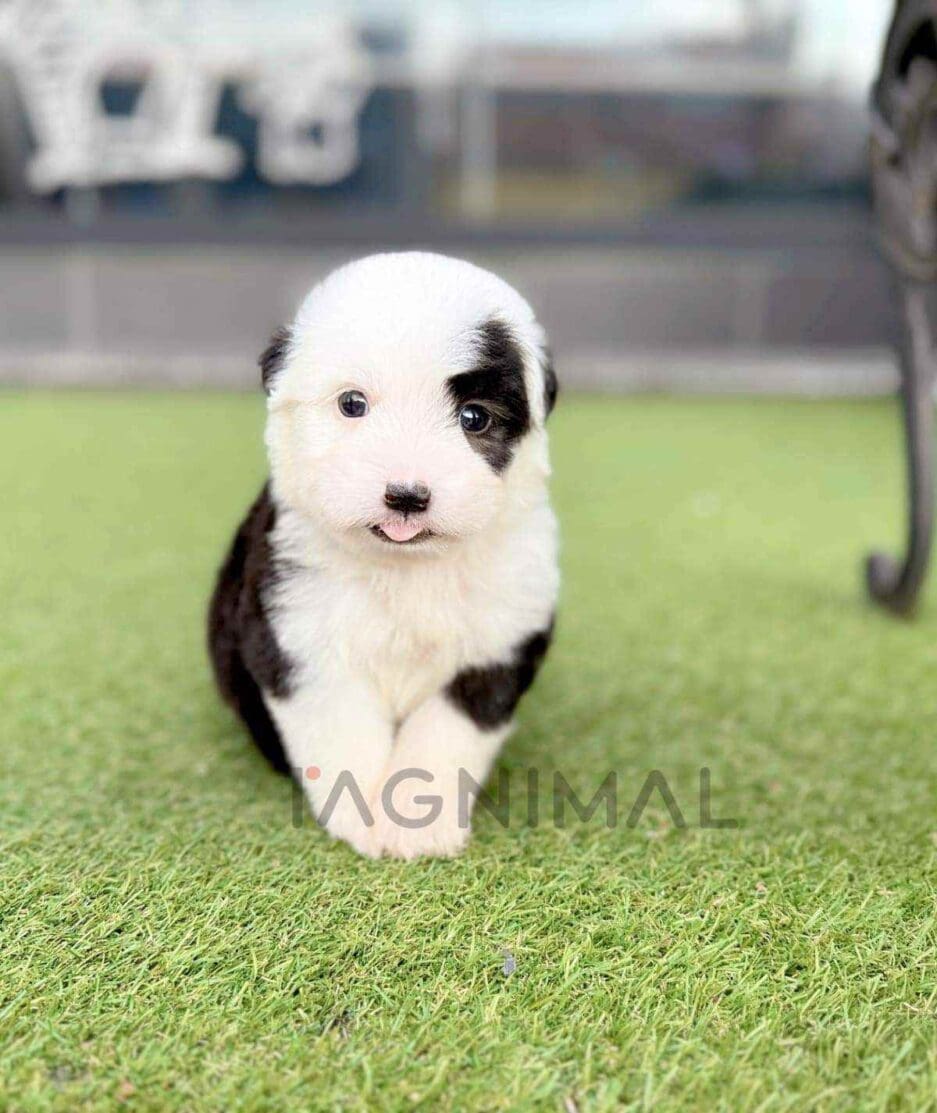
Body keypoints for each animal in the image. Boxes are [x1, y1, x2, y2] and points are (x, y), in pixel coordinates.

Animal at [208, 252, 558, 859]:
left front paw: (421, 818)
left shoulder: (499, 639)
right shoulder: (300, 632)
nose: (407, 496)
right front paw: (361, 814)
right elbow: (339, 732)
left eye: (474, 417)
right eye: (353, 404)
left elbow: (447, 732)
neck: (407, 570)